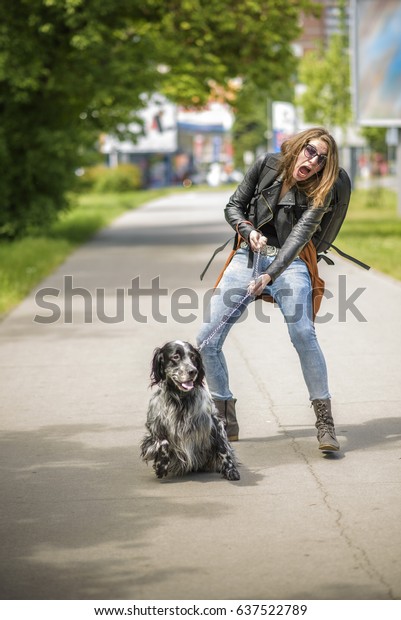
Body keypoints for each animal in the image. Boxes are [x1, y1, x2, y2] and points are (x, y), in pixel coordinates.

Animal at [141, 342, 239, 482]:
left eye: (193, 357)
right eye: (175, 357)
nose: (193, 371)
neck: (181, 399)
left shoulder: (214, 421)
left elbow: (223, 447)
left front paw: (231, 470)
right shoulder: (154, 426)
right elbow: (163, 442)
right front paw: (161, 465)